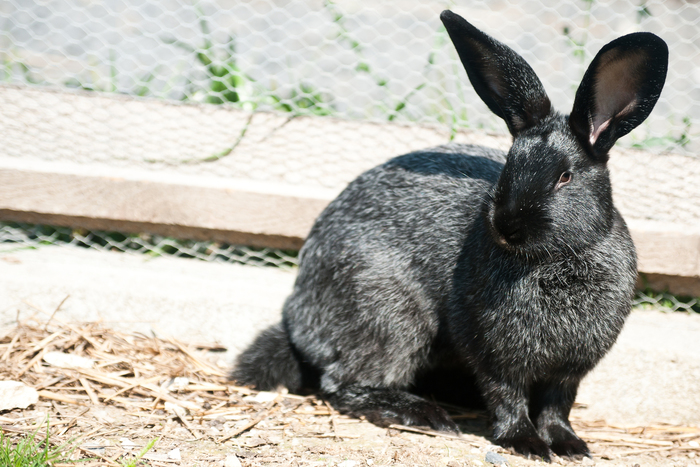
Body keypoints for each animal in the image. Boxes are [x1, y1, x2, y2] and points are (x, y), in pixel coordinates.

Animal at [233, 10, 668, 461]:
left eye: (565, 177)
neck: (553, 260)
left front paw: (569, 445)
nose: (507, 226)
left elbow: (556, 406)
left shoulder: (568, 370)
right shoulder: (491, 351)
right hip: (389, 316)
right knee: (345, 384)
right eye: (509, 167)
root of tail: (298, 322)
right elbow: (507, 396)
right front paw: (525, 442)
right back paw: (425, 415)